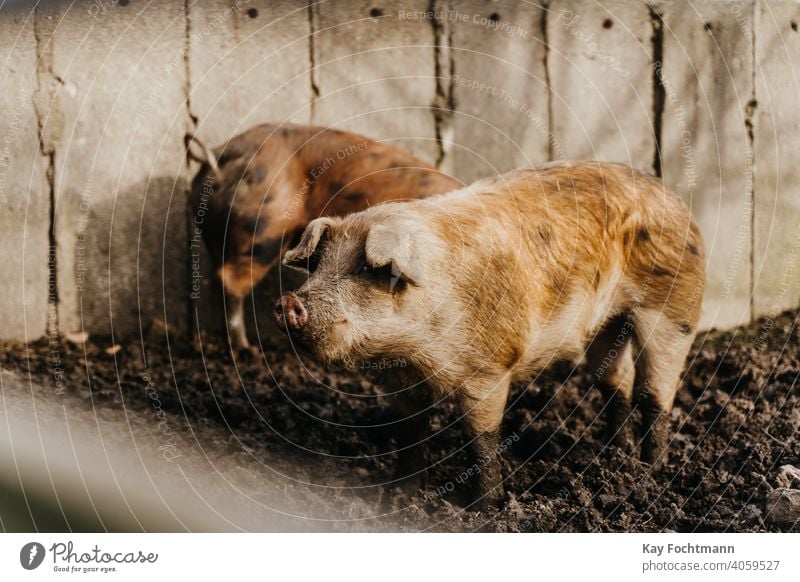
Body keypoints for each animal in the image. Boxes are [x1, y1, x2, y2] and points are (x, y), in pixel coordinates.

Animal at [276, 162, 708, 508]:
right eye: (317, 266)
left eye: (366, 270)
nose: (288, 302)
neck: (415, 352)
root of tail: (675, 199)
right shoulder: (404, 380)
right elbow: (410, 430)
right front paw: (398, 493)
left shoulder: (489, 367)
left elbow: (480, 439)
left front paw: (482, 509)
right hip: (609, 324)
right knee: (618, 379)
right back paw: (616, 452)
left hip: (674, 308)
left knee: (656, 393)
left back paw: (651, 469)